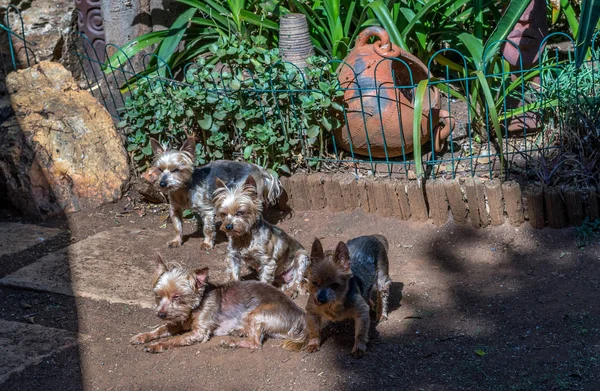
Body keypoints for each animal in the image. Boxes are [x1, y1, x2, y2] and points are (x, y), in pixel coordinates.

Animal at [131, 256, 310, 354]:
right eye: (158, 296)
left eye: (177, 297)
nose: (161, 314)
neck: (194, 308)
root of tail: (300, 314)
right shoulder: (177, 322)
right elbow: (160, 329)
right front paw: (142, 336)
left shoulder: (199, 332)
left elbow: (175, 339)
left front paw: (156, 345)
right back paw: (239, 331)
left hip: (257, 313)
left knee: (255, 343)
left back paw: (232, 342)